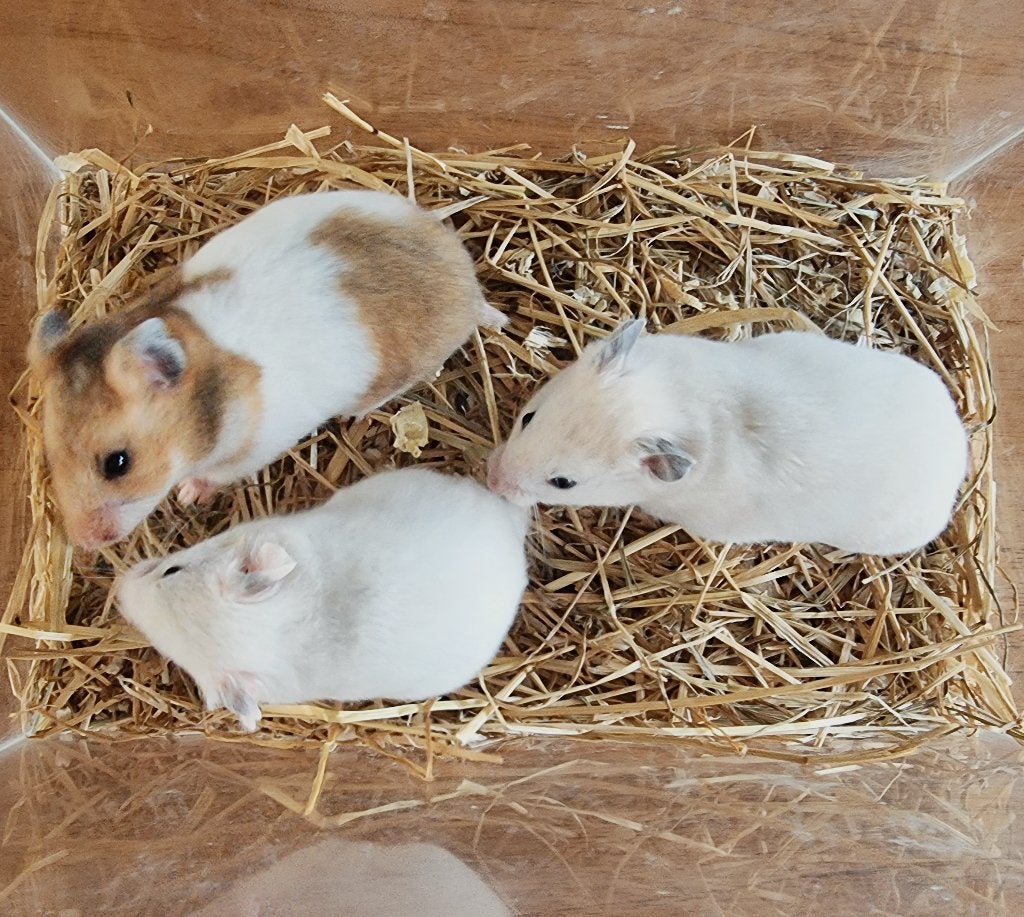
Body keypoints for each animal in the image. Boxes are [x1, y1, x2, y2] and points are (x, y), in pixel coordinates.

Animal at [28, 189, 504, 548]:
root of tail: (469, 286)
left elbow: (213, 475)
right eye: (49, 455)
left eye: (118, 464)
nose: (84, 543)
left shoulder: (252, 450)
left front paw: (187, 494)